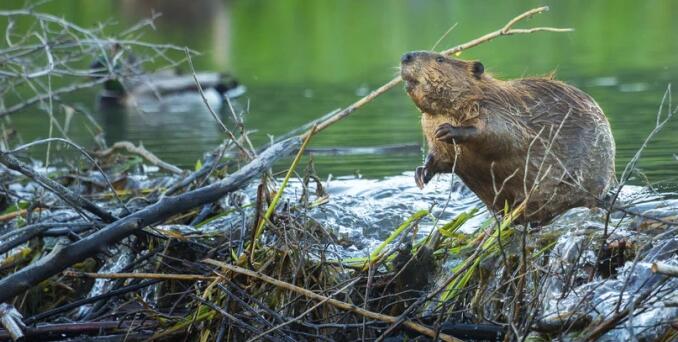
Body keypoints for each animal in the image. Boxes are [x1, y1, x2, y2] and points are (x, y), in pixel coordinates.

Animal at [402, 50, 620, 224]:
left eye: (440, 59)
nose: (406, 56)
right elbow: (441, 157)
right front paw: (421, 173)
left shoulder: (498, 109)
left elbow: (500, 135)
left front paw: (449, 130)